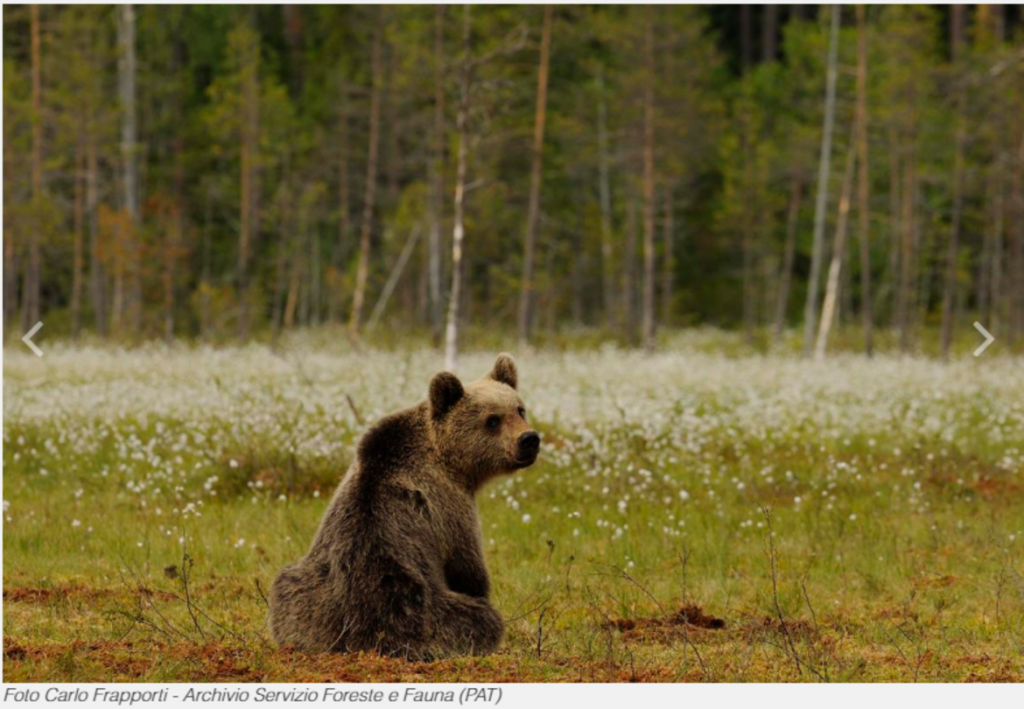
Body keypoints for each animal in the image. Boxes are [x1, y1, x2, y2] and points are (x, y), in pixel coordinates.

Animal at [268, 353, 540, 659]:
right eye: (492, 419)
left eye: (520, 409)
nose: (529, 439)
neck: (450, 460)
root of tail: (362, 636)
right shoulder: (450, 505)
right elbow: (468, 568)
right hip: (422, 613)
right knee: (480, 620)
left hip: (306, 597)